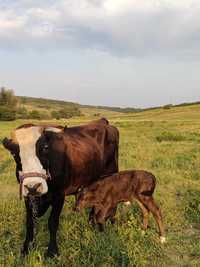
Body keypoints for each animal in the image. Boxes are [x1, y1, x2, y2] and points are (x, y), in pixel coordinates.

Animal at [2, 119, 119, 258]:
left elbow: (52, 222)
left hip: (111, 172)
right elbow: (30, 222)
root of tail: (103, 122)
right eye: (14, 153)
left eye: (45, 148)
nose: (34, 186)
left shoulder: (59, 195)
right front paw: (26, 249)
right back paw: (92, 222)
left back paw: (109, 222)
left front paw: (52, 251)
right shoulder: (28, 196)